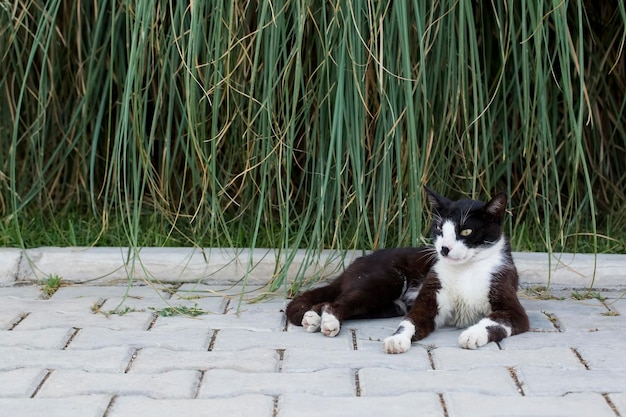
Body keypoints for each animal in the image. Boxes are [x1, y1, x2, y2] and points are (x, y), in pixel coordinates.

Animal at [380, 186, 528, 352]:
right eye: (438, 227)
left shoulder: (508, 295)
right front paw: (397, 339)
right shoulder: (434, 285)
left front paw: (472, 335)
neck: (465, 268)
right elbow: (412, 318)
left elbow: (492, 321)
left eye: (466, 231)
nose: (444, 248)